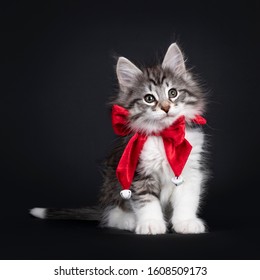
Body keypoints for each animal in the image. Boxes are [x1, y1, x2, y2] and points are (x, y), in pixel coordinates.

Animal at [31, 42, 209, 234]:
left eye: (173, 93)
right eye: (149, 98)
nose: (166, 107)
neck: (164, 136)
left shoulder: (190, 169)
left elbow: (187, 199)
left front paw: (186, 222)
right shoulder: (139, 172)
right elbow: (146, 200)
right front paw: (151, 223)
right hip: (113, 187)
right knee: (112, 215)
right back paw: (128, 221)